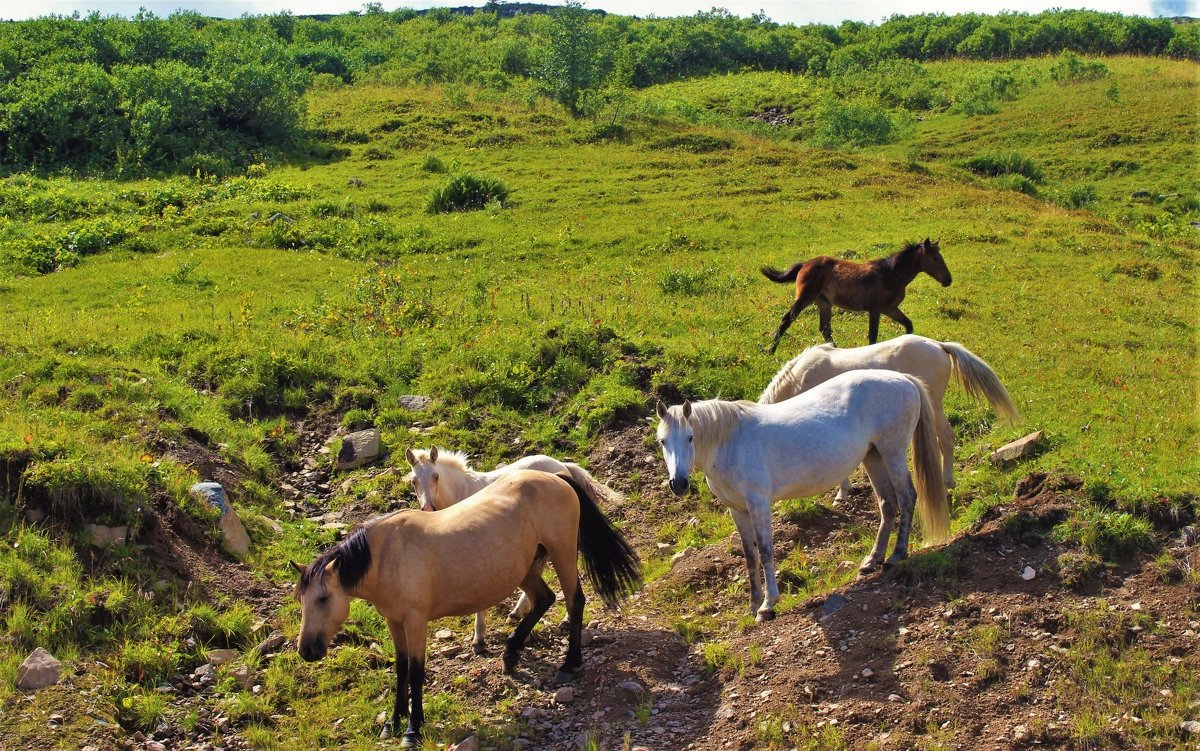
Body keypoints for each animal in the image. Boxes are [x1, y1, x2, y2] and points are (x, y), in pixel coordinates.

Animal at [291, 467, 643, 743]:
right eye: (301, 601)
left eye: (323, 598)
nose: (306, 651)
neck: (387, 555)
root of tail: (557, 477)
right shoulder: (394, 621)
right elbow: (401, 669)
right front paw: (393, 721)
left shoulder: (415, 621)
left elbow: (416, 671)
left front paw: (413, 729)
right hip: (527, 566)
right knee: (544, 599)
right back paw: (510, 654)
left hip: (562, 552)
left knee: (574, 601)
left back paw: (569, 663)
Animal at [405, 446, 624, 652]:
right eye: (413, 481)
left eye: (436, 476)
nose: (428, 508)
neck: (461, 492)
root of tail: (562, 465)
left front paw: (479, 638)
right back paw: (519, 611)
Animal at [657, 369, 945, 619]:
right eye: (662, 441)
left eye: (691, 437)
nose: (679, 484)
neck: (730, 443)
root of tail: (903, 379)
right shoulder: (737, 510)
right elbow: (750, 556)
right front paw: (753, 604)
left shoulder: (758, 504)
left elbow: (765, 551)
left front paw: (768, 604)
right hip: (873, 457)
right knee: (888, 504)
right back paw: (872, 560)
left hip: (892, 452)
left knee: (907, 498)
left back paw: (897, 555)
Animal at [758, 331, 1012, 496]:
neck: (799, 379)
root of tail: (939, 345)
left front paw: (842, 493)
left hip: (934, 404)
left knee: (946, 438)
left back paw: (948, 481)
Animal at [763, 236, 950, 352]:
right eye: (935, 258)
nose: (948, 280)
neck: (890, 275)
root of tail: (804, 265)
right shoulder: (875, 310)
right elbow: (873, 336)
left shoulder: (890, 309)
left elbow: (908, 325)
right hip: (805, 298)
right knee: (787, 319)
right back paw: (770, 351)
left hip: (824, 303)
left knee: (825, 329)